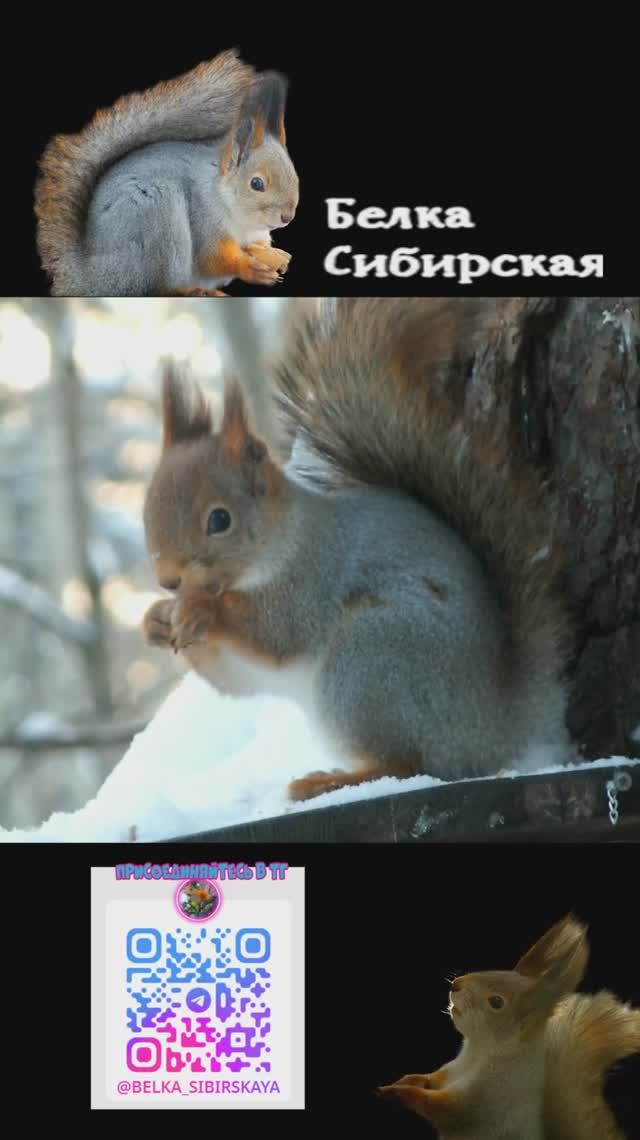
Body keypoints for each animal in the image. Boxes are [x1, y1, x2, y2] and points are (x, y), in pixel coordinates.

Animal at [34, 49, 299, 297]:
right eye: (256, 183)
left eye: (295, 177)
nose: (287, 217)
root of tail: (92, 276)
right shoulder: (204, 219)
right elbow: (213, 259)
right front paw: (252, 269)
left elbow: (256, 246)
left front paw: (273, 255)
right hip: (159, 216)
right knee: (161, 288)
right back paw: (197, 291)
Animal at [141, 298, 573, 803]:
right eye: (146, 512)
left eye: (219, 520)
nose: (169, 579)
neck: (281, 543)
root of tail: (494, 728)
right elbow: (236, 678)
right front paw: (155, 620)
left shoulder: (313, 577)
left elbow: (276, 634)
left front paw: (201, 609)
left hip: (369, 661)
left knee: (407, 764)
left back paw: (331, 781)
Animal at [376, 914, 640, 1140]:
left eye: (496, 1002)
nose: (455, 984)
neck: (478, 1052)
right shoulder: (451, 1071)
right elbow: (431, 1079)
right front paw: (406, 1079)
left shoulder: (484, 1100)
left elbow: (442, 1109)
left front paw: (396, 1092)